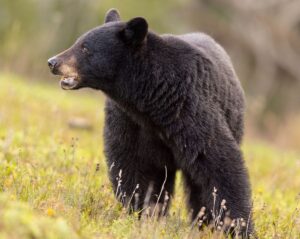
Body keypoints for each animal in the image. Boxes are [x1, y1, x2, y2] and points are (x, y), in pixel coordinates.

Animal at [48, 8, 253, 235]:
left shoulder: (192, 110)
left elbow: (219, 163)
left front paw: (237, 226)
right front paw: (143, 213)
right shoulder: (129, 121)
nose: (53, 62)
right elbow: (135, 168)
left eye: (85, 47)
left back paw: (202, 223)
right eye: (78, 41)